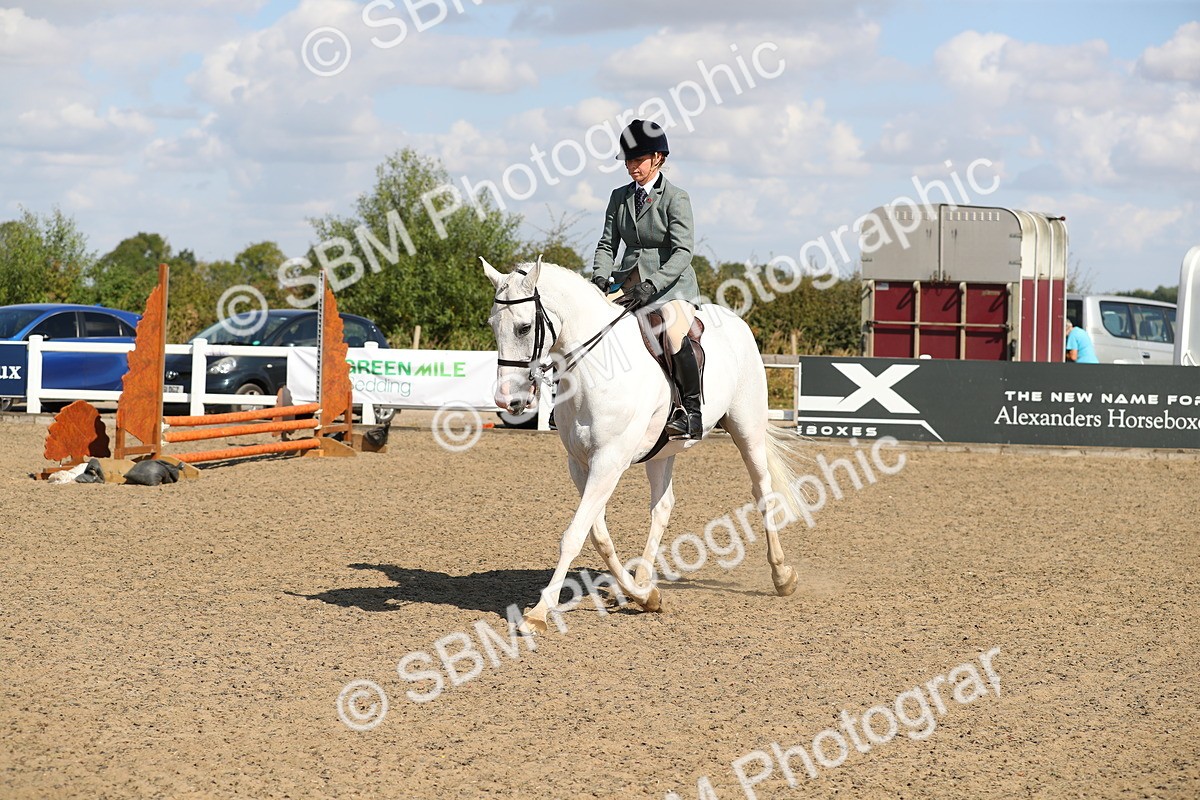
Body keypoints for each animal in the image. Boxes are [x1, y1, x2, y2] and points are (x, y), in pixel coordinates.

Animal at [482, 257, 807, 633]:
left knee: (762, 492)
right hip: (663, 451)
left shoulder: (609, 461)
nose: (507, 401)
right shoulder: (580, 464)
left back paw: (783, 576)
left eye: (523, 328)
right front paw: (644, 596)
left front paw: (538, 613)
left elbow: (573, 535)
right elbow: (598, 536)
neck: (597, 369)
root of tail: (736, 323)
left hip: (747, 429)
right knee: (662, 507)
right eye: (493, 325)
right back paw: (643, 580)